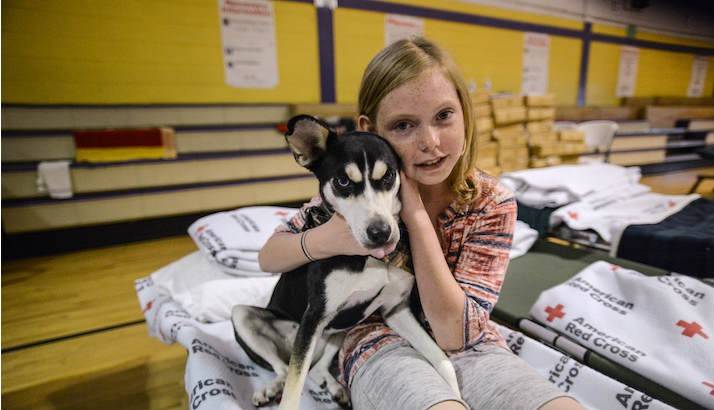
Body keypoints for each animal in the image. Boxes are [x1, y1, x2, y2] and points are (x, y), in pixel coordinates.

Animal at [231, 115, 458, 410]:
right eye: (342, 181)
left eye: (388, 175)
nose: (380, 232)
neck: (371, 259)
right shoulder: (314, 316)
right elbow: (293, 390)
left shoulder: (395, 309)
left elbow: (443, 360)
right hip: (250, 319)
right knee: (284, 368)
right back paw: (271, 388)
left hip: (342, 328)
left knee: (314, 369)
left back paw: (335, 387)